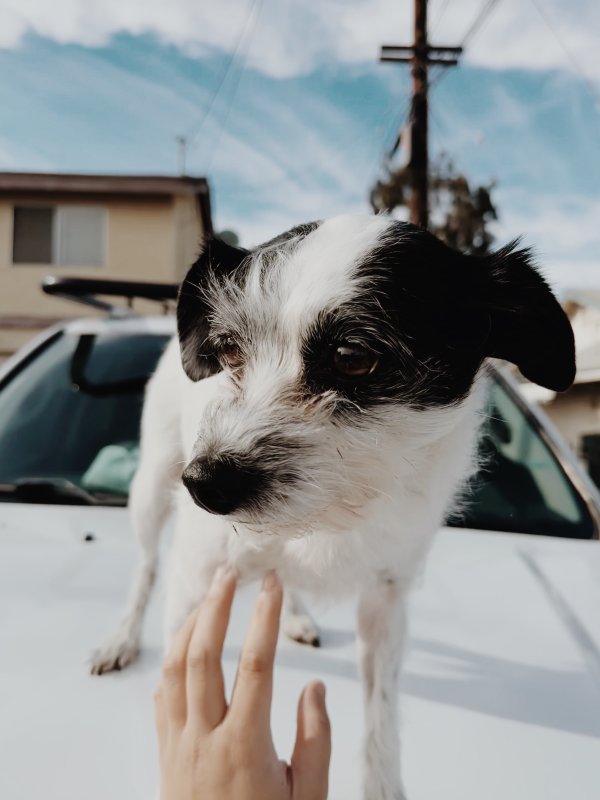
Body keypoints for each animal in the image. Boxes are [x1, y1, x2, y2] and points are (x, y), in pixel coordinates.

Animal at [90, 214, 576, 800]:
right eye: (228, 352)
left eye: (353, 358)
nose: (204, 484)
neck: (334, 510)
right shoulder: (195, 576)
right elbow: (180, 674)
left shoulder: (387, 599)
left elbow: (381, 710)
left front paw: (384, 784)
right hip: (151, 486)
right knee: (145, 566)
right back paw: (120, 638)